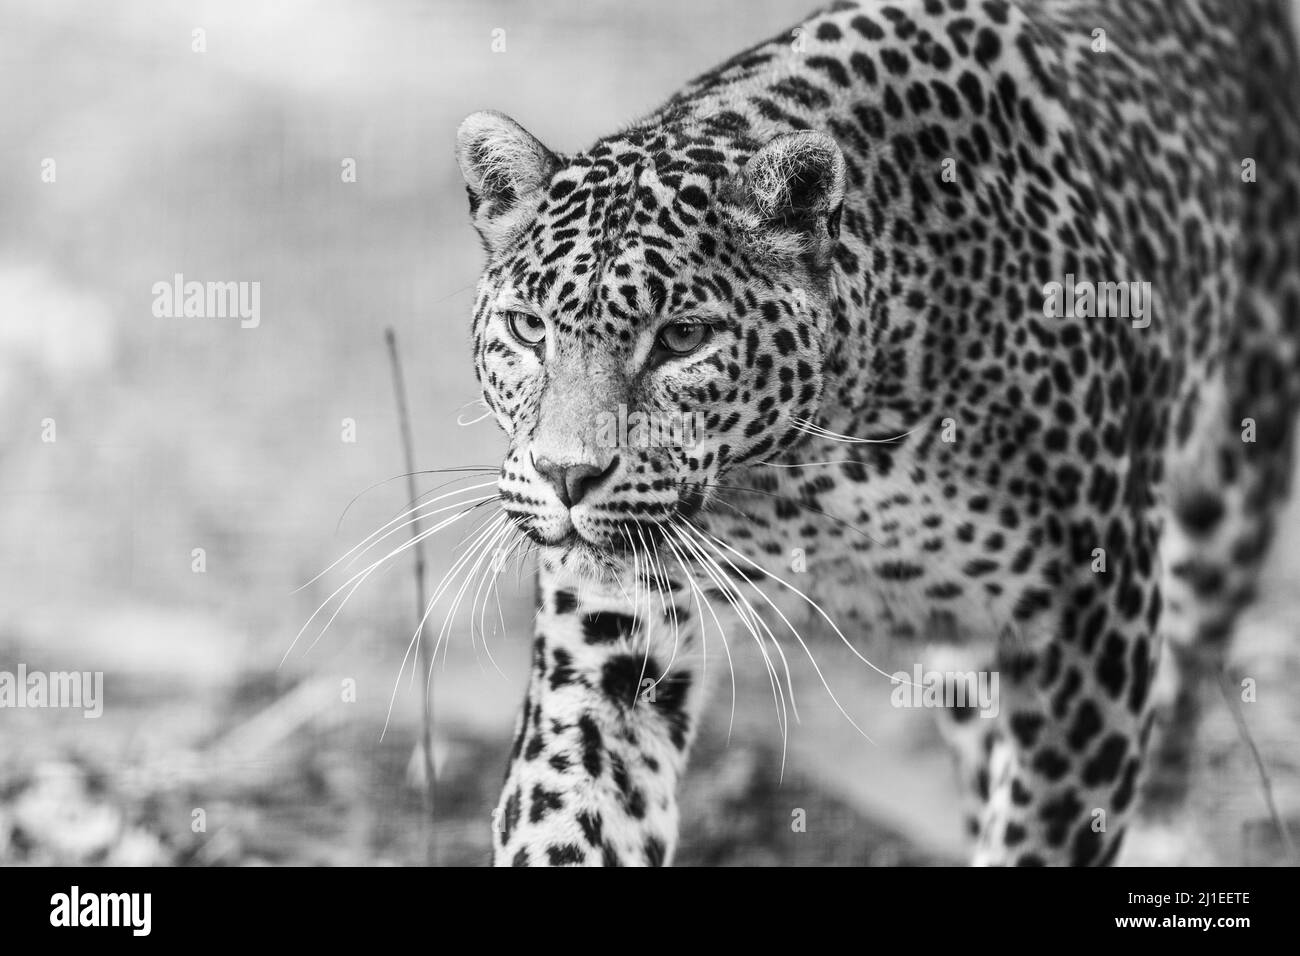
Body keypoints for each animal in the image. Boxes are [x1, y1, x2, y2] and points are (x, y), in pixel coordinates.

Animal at [452, 0, 1300, 865]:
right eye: (527, 329)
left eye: (682, 338)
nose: (566, 476)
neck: (805, 466)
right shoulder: (614, 639)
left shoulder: (1096, 622)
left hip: (1228, 493)